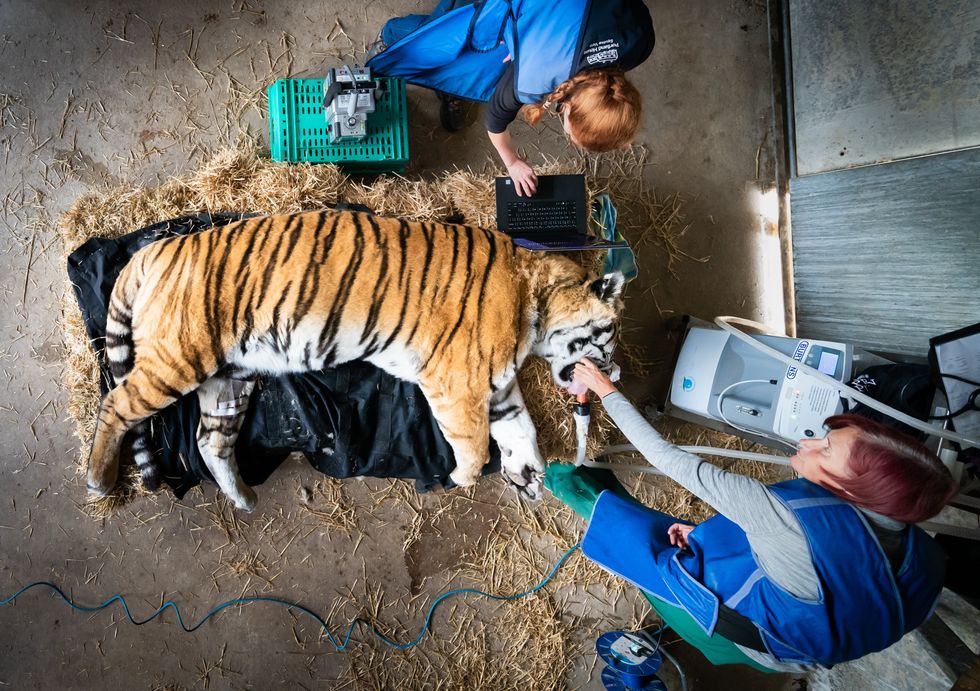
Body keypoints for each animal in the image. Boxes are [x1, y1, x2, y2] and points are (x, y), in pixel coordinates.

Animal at [86, 209, 625, 511]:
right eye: (611, 334)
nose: (615, 373)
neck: (536, 304)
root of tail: (154, 250)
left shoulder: (500, 388)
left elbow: (521, 431)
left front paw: (530, 476)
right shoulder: (458, 384)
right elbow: (473, 445)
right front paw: (462, 479)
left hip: (229, 378)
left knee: (208, 441)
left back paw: (243, 498)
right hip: (179, 358)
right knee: (115, 405)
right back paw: (98, 481)